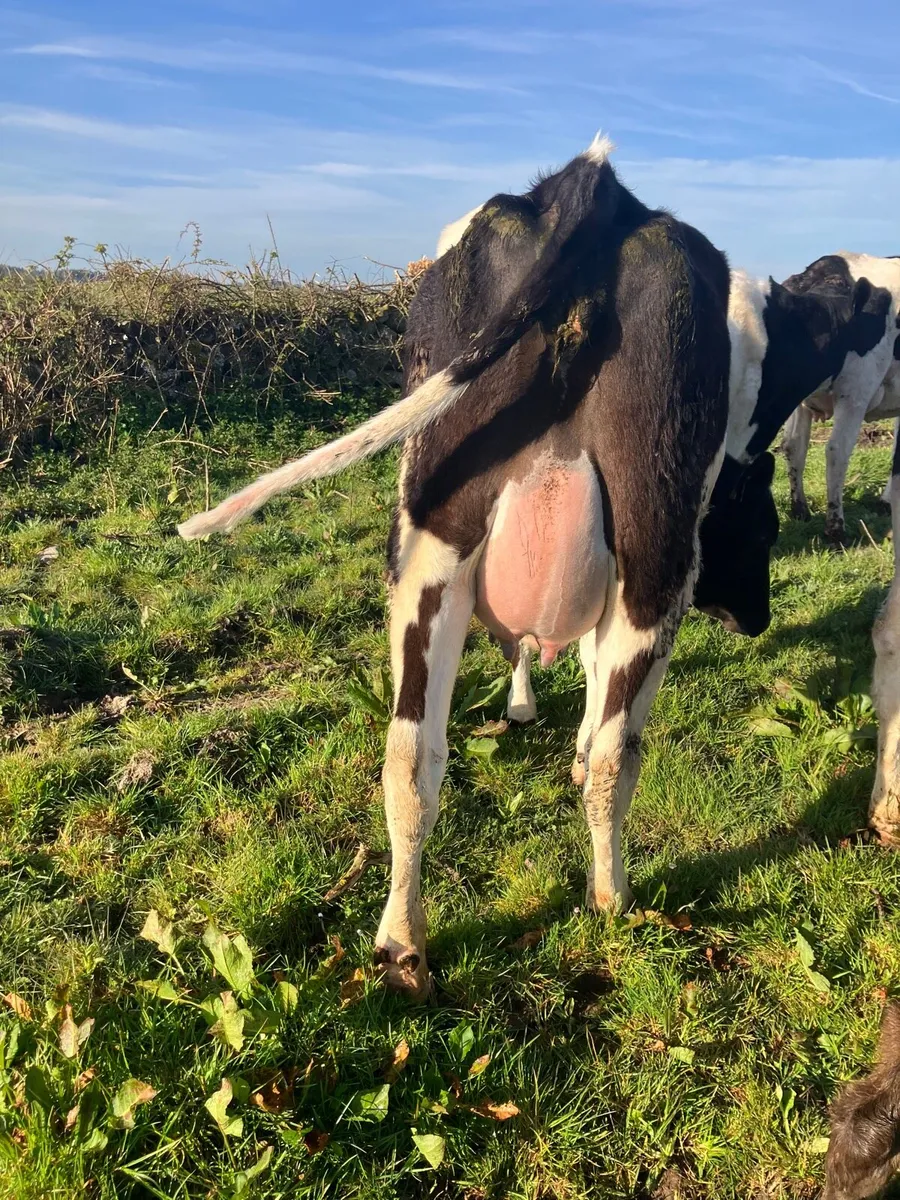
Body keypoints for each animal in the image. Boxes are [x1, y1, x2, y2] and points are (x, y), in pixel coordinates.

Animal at [179, 136, 778, 999]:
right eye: (763, 526)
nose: (759, 619)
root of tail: (592, 187)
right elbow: (591, 690)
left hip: (436, 538)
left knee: (410, 757)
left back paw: (403, 947)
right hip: (653, 551)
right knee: (610, 757)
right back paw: (609, 897)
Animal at [778, 254, 900, 543]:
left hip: (800, 400)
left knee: (793, 445)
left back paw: (800, 510)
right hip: (856, 390)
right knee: (836, 450)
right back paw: (835, 529)